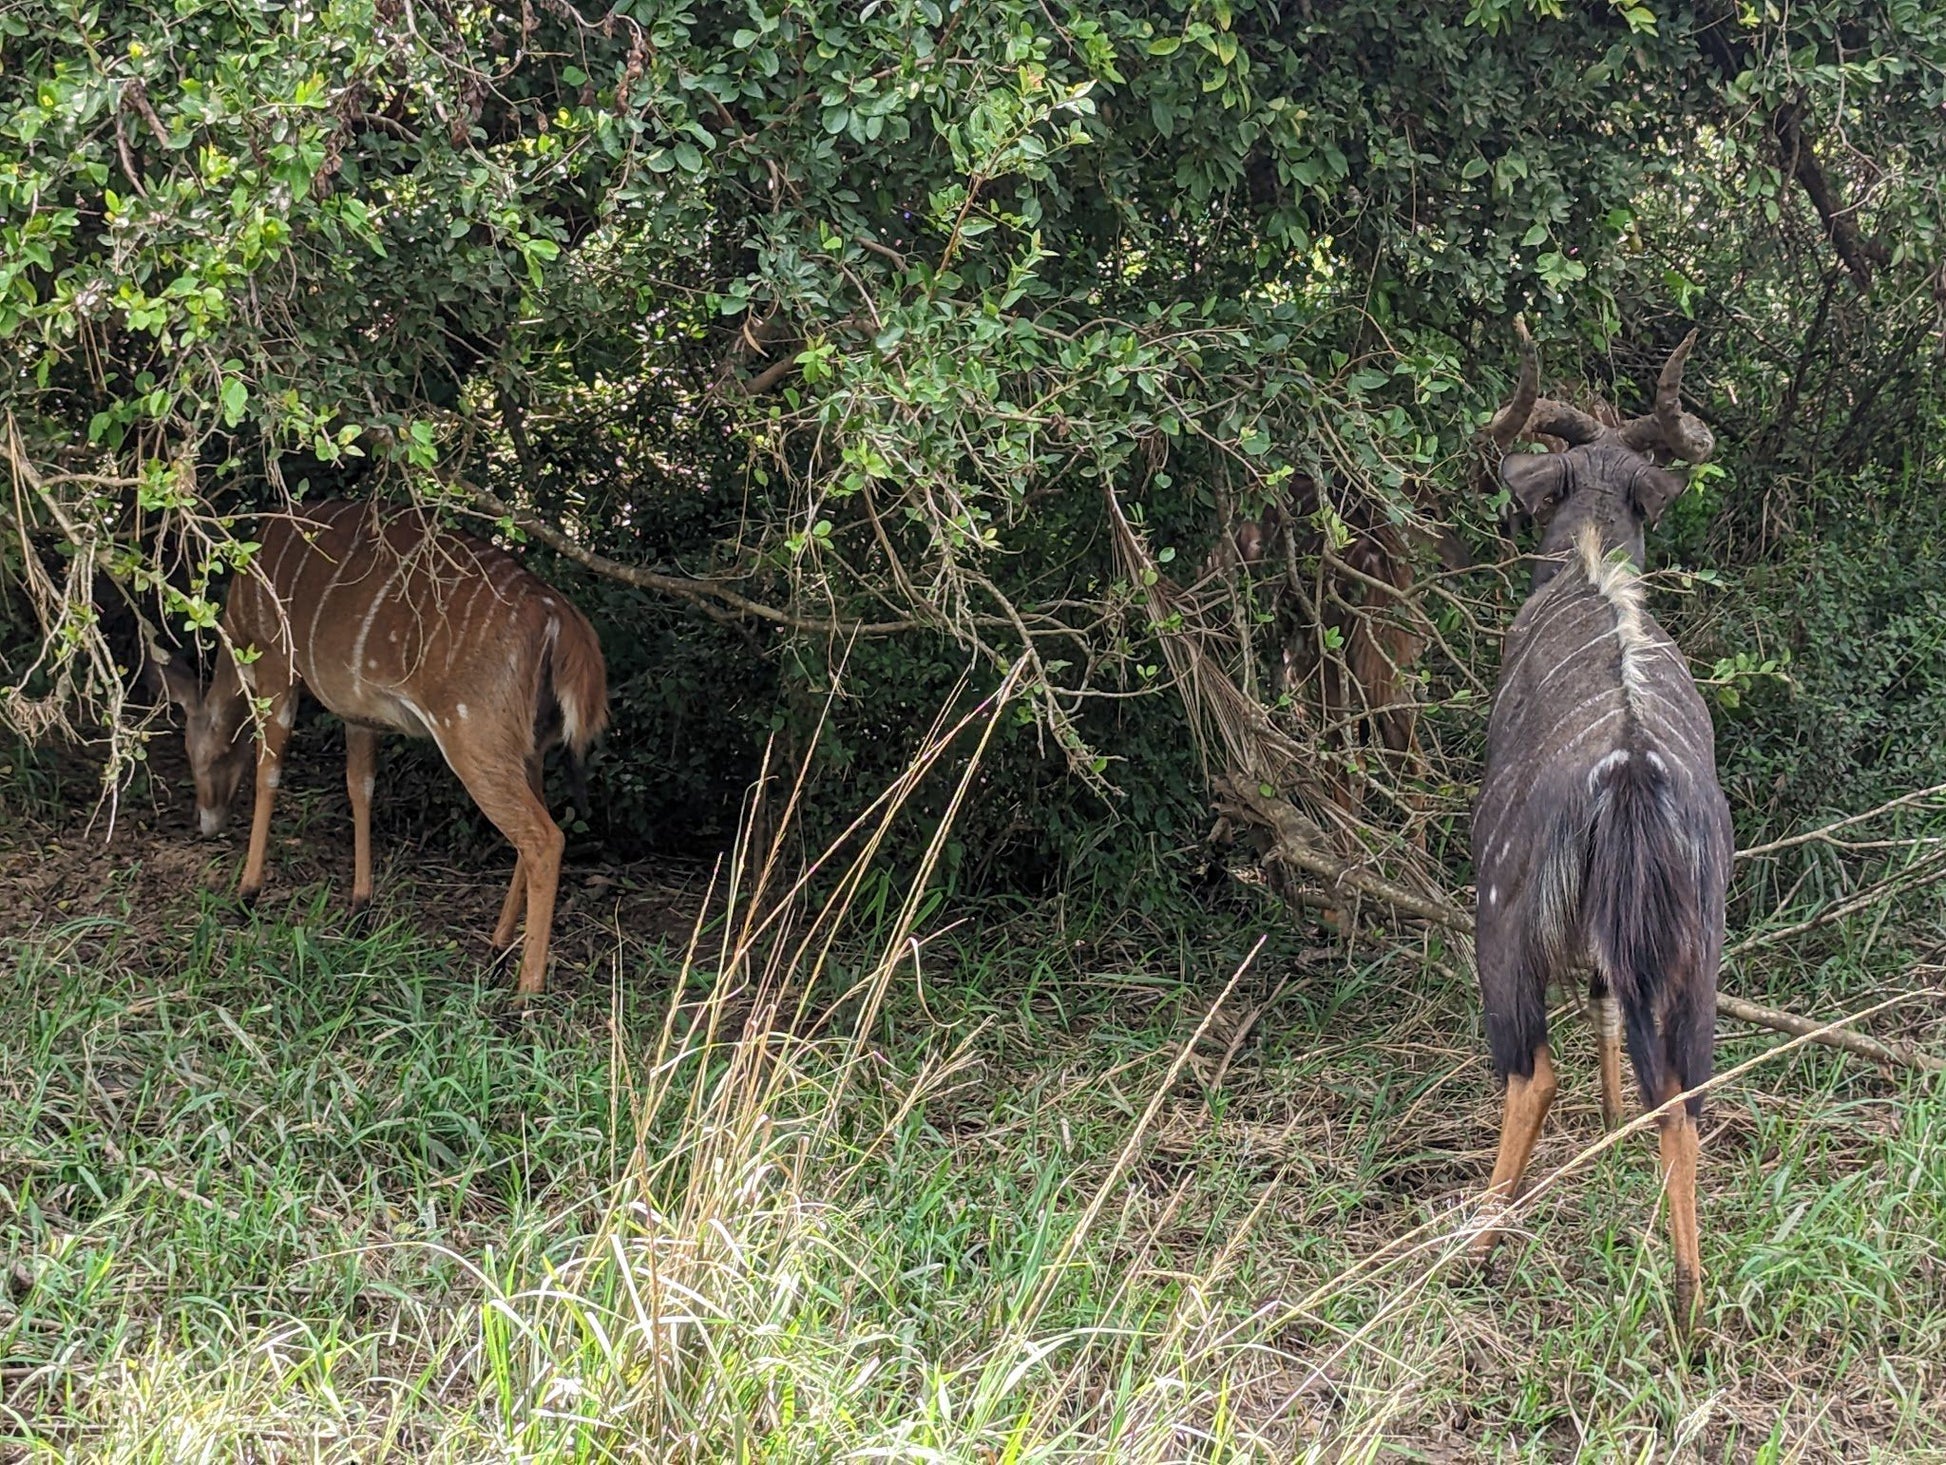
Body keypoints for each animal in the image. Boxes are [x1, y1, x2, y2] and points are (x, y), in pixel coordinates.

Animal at [156, 494, 603, 996]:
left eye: (201, 755)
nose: (207, 823)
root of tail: (561, 622)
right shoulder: (357, 709)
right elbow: (361, 786)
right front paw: (360, 907)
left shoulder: (277, 661)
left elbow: (269, 771)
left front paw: (248, 893)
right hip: (526, 746)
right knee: (537, 827)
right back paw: (495, 952)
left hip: (474, 734)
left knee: (543, 837)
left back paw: (526, 991)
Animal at [1471, 319, 1735, 1338]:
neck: (1590, 567)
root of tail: (1629, 767)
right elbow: (1610, 1003)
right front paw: (1615, 1119)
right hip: (1701, 949)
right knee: (1687, 1092)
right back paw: (1691, 1301)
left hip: (1500, 922)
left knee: (1529, 1070)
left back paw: (1475, 1245)